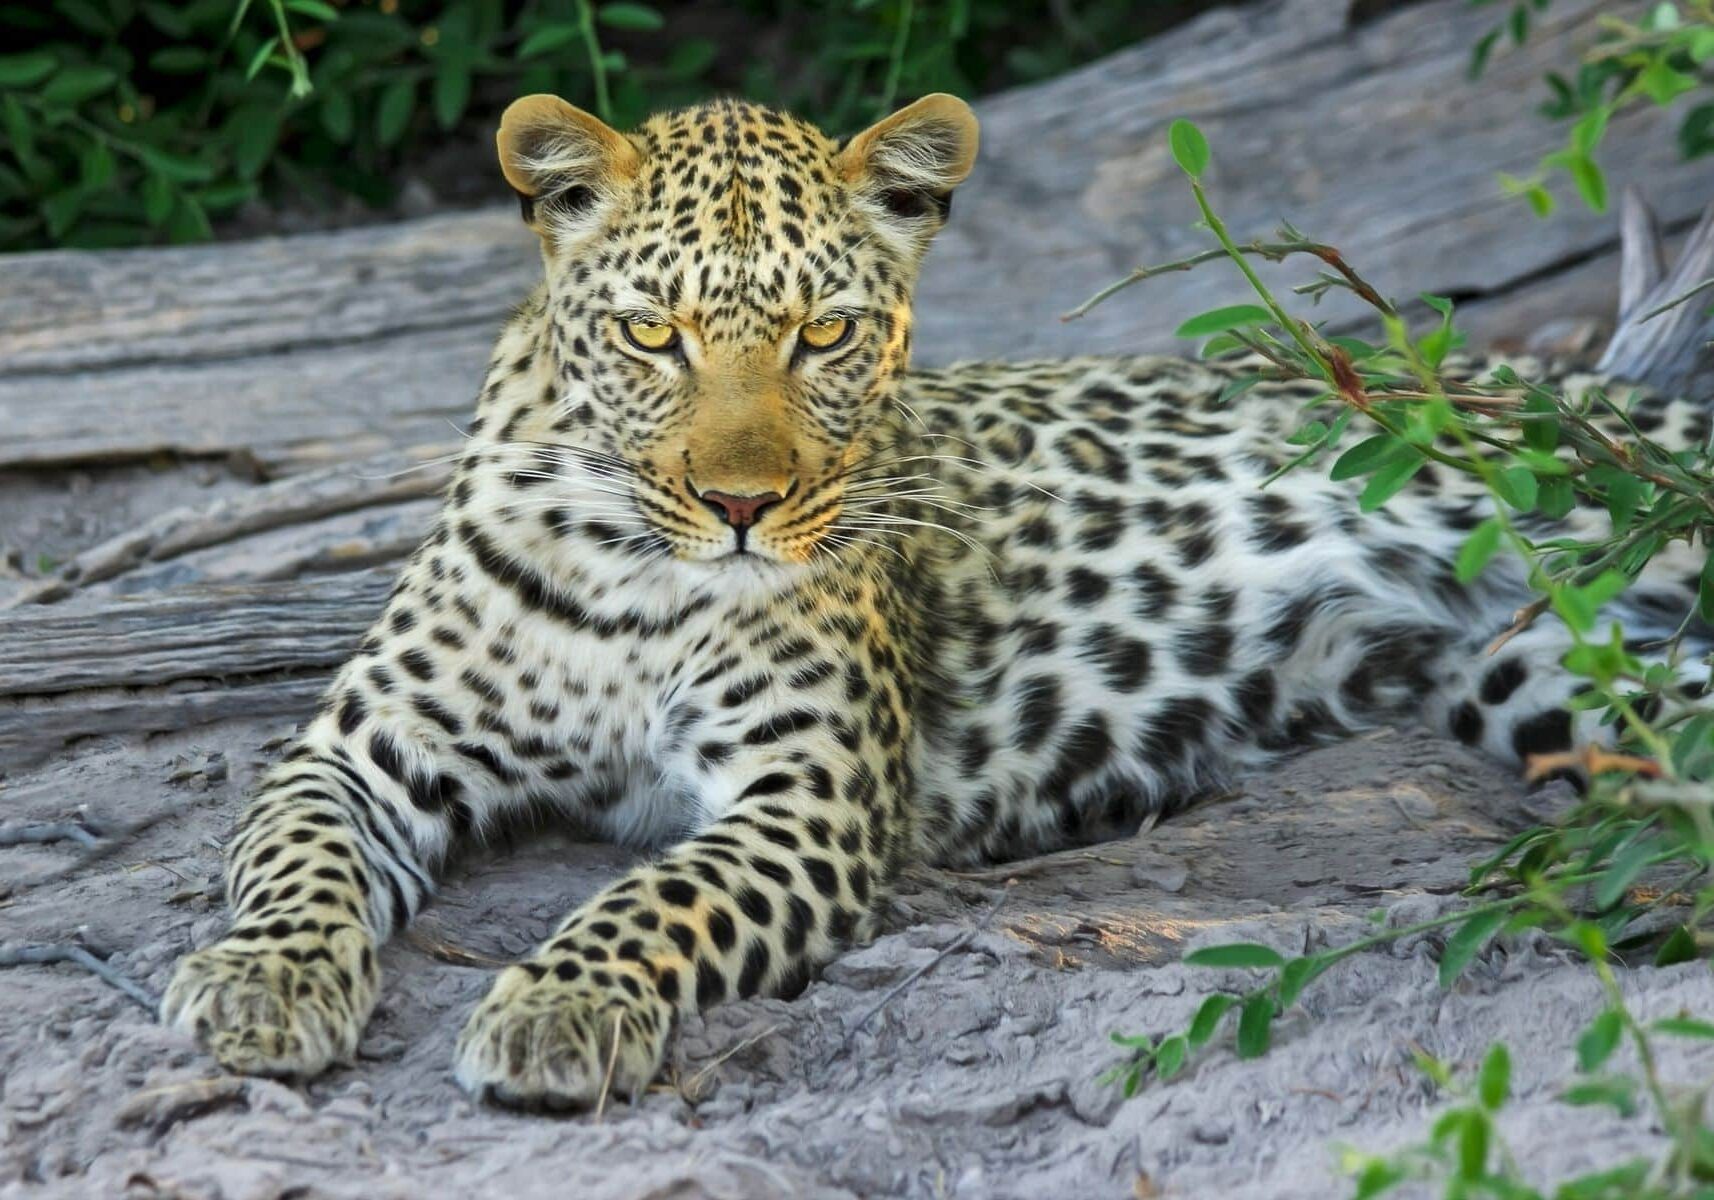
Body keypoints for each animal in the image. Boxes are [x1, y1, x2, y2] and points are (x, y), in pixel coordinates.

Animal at [160, 91, 1713, 1110]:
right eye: (653, 334)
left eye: (826, 334)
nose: (740, 506)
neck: (629, 565)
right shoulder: (358, 749)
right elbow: (293, 858)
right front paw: (259, 983)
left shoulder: (809, 796)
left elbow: (655, 895)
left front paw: (561, 1001)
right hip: (1547, 675)